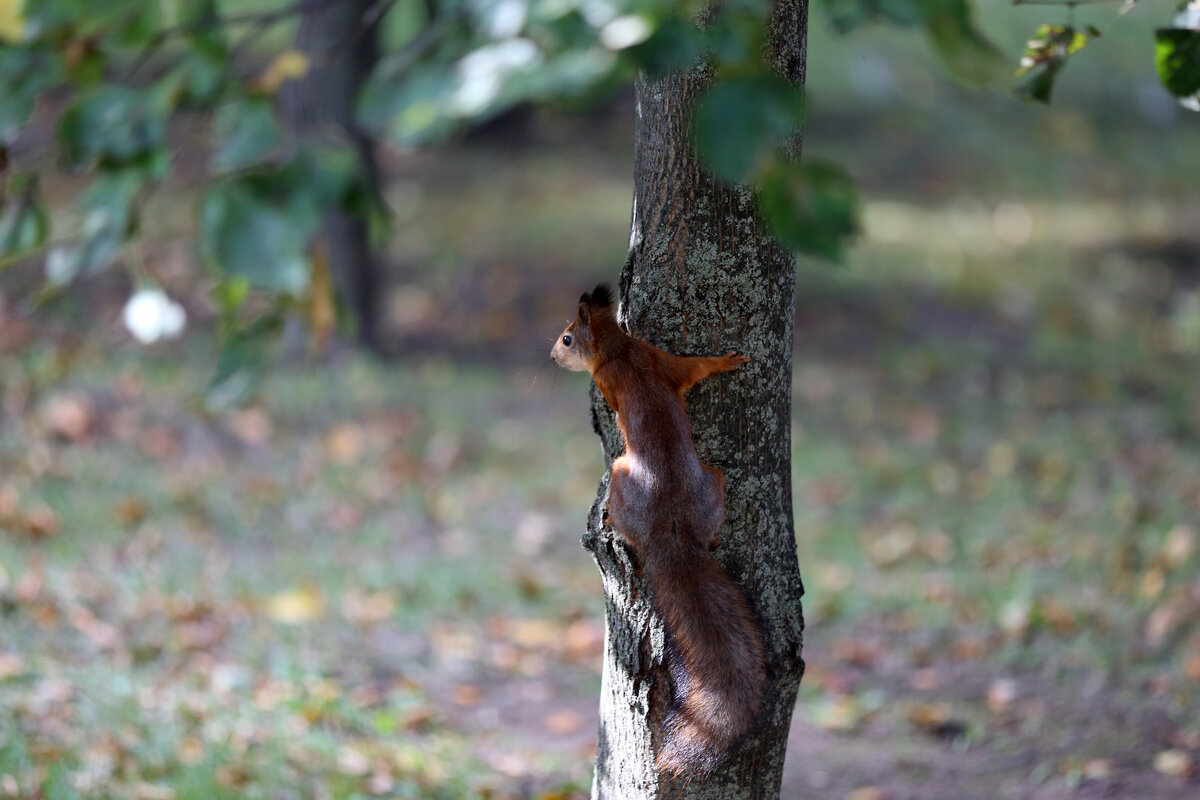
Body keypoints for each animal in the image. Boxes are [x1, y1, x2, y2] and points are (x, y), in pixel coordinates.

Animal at [549, 284, 763, 777]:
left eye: (567, 337)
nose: (552, 356)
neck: (620, 350)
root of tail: (670, 531)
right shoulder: (659, 360)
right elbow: (693, 370)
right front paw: (725, 361)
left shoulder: (610, 377)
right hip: (710, 485)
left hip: (621, 473)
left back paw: (612, 520)